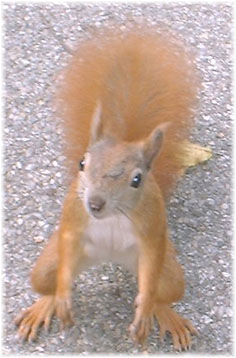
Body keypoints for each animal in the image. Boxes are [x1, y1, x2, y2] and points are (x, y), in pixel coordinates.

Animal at [14, 29, 199, 352]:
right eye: (82, 163)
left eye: (137, 179)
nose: (95, 203)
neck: (111, 218)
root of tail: (110, 259)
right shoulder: (73, 219)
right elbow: (68, 246)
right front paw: (63, 298)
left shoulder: (152, 231)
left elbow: (149, 273)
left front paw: (144, 310)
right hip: (46, 268)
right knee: (48, 281)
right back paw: (45, 304)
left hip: (171, 275)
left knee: (163, 293)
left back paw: (164, 313)